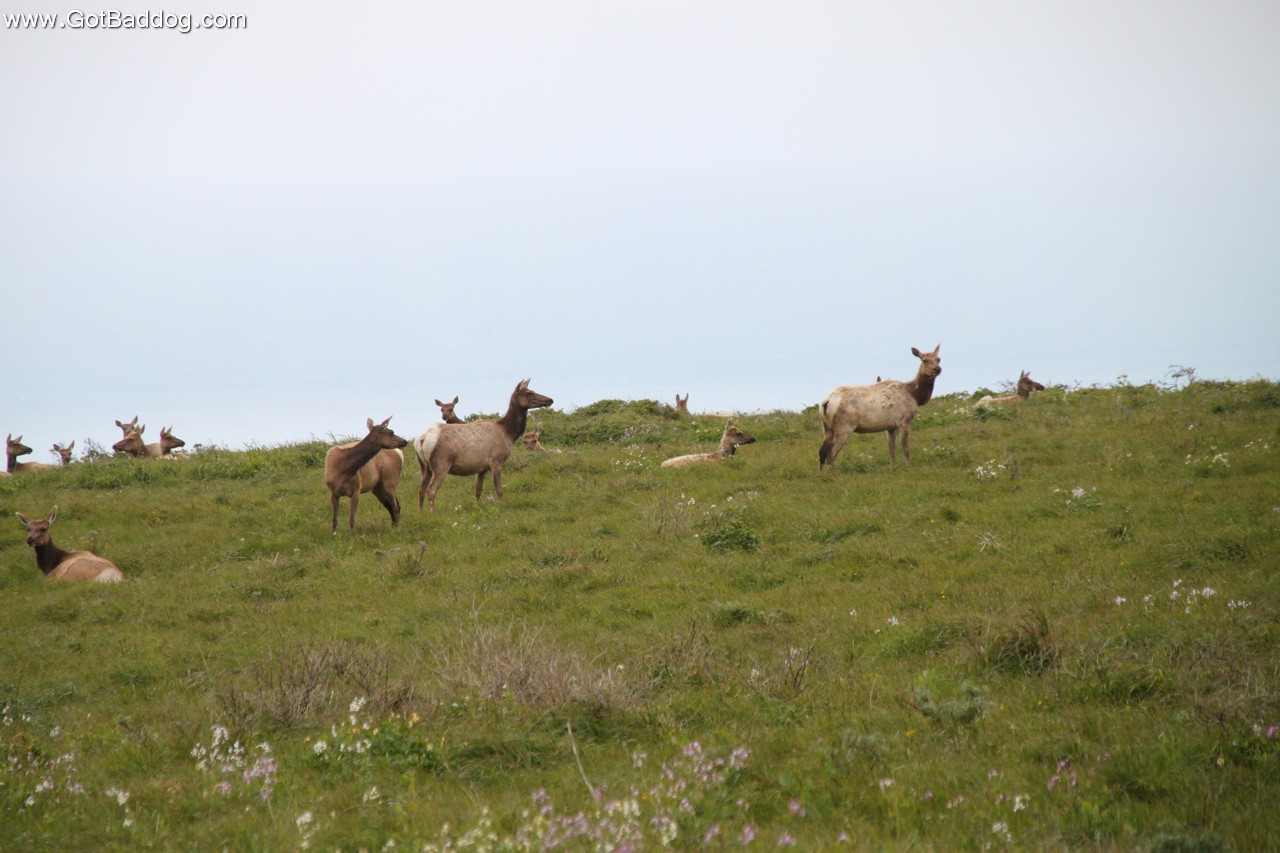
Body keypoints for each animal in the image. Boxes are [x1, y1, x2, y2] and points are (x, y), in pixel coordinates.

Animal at [414, 378, 553, 513]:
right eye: (528, 392)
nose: (550, 399)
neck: (508, 433)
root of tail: (421, 439)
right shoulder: (496, 461)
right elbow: (499, 490)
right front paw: (501, 509)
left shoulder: (481, 468)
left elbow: (478, 491)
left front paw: (477, 508)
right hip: (441, 464)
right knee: (430, 490)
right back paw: (432, 514)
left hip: (424, 466)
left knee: (421, 490)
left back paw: (420, 513)